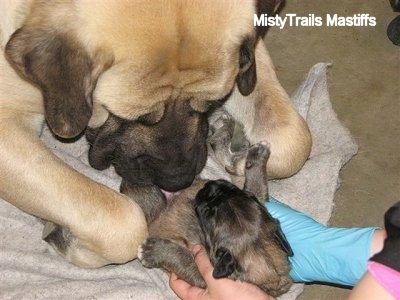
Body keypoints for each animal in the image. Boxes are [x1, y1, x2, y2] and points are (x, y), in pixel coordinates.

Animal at [0, 0, 310, 268]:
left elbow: (294, 141)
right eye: (137, 118)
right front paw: (66, 238)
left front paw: (239, 160)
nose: (179, 181)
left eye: (210, 104)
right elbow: (123, 222)